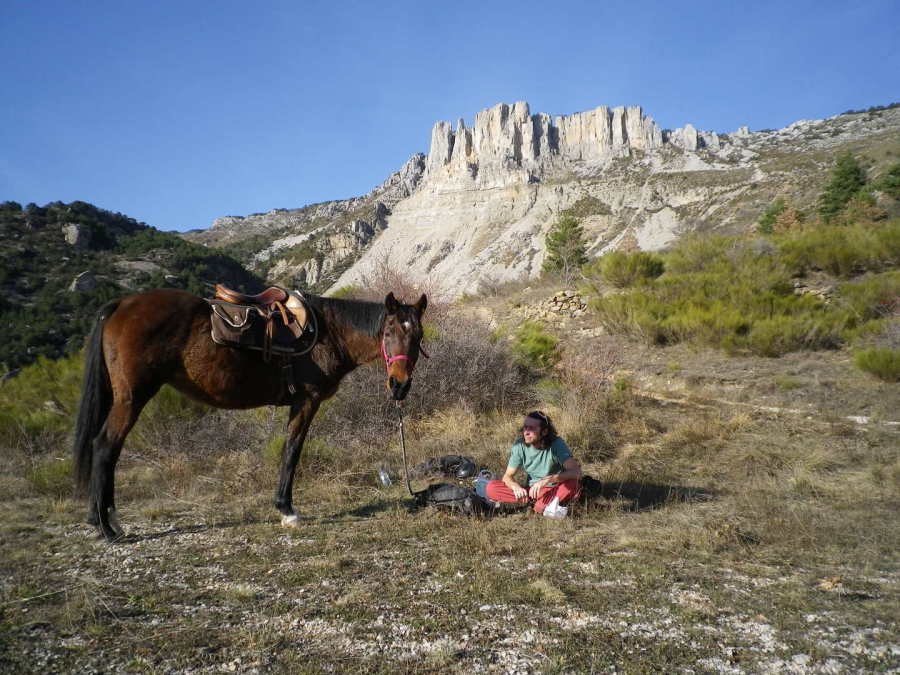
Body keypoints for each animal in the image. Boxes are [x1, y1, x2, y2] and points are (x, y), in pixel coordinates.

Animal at [72, 287, 427, 541]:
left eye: (418, 335)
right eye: (389, 331)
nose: (399, 385)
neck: (328, 333)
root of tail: (121, 304)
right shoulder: (306, 401)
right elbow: (292, 449)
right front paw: (286, 509)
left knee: (109, 449)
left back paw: (108, 520)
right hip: (132, 398)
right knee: (104, 446)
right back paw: (105, 527)